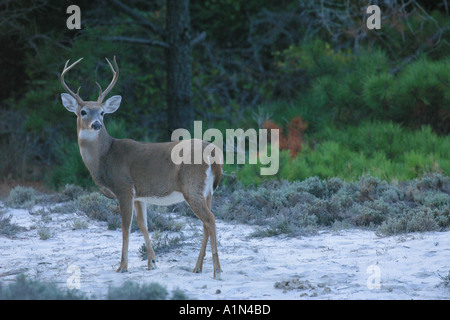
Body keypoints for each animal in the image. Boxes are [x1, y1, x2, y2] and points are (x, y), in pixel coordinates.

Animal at [60, 56, 222, 278]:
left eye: (102, 112)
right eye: (83, 111)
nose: (96, 124)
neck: (104, 156)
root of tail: (214, 154)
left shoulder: (124, 188)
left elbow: (125, 227)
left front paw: (122, 266)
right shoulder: (139, 195)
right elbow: (143, 225)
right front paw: (152, 261)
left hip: (192, 186)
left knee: (210, 219)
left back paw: (217, 270)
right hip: (207, 191)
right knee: (206, 223)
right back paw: (197, 267)